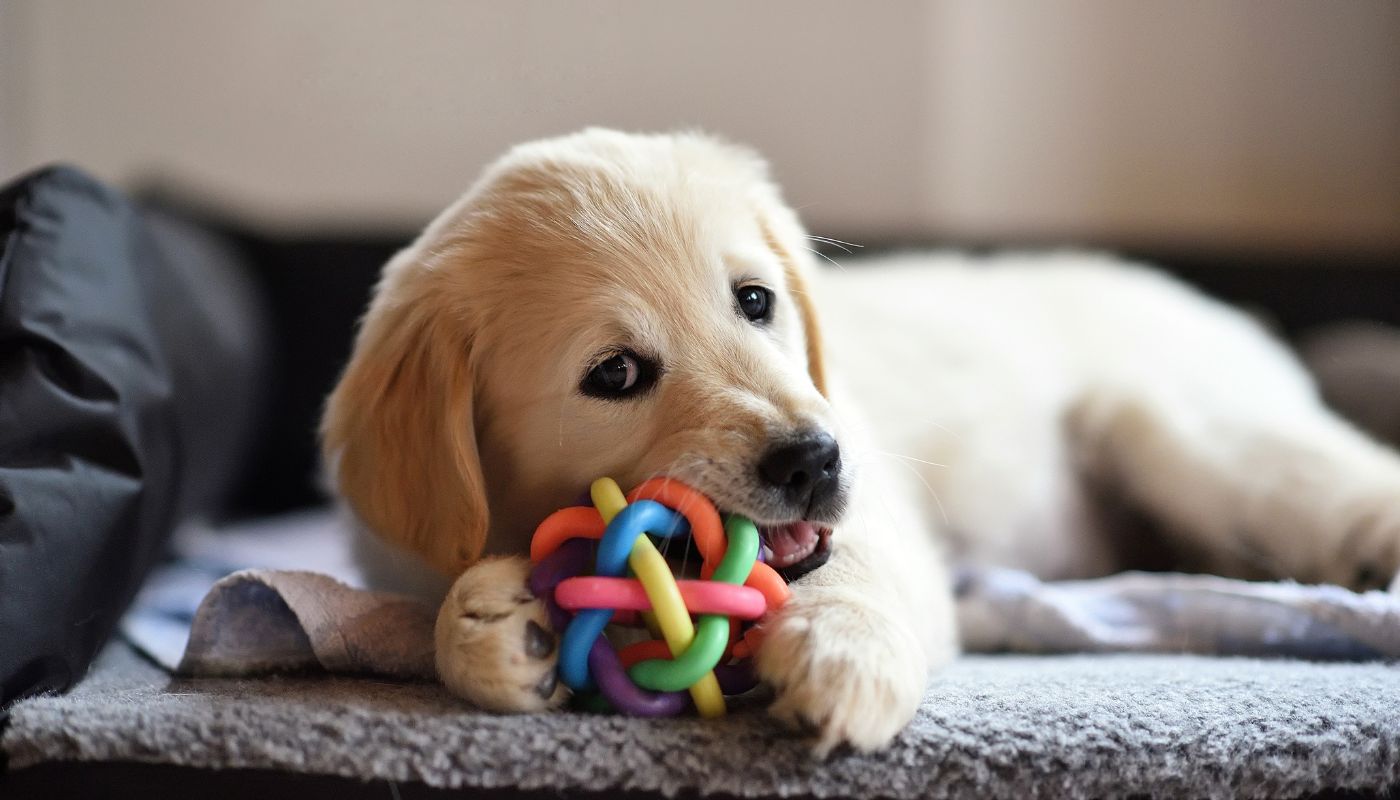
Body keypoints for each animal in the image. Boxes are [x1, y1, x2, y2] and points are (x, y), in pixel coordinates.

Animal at [322, 128, 1400, 756]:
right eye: (615, 374)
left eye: (755, 300)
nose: (812, 459)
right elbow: (437, 610)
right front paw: (494, 623)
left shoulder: (880, 506)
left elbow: (851, 569)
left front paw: (842, 652)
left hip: (1177, 431)